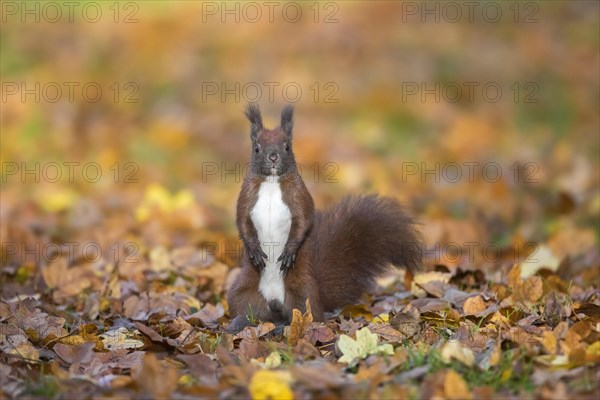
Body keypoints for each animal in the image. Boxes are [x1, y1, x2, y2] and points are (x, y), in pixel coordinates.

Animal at [227, 104, 424, 324]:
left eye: (287, 146)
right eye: (257, 148)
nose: (273, 156)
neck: (271, 182)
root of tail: (275, 301)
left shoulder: (300, 197)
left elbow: (304, 220)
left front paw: (289, 251)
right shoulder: (246, 197)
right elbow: (242, 221)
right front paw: (254, 249)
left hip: (302, 293)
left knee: (308, 313)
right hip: (243, 292)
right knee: (249, 312)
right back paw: (239, 323)